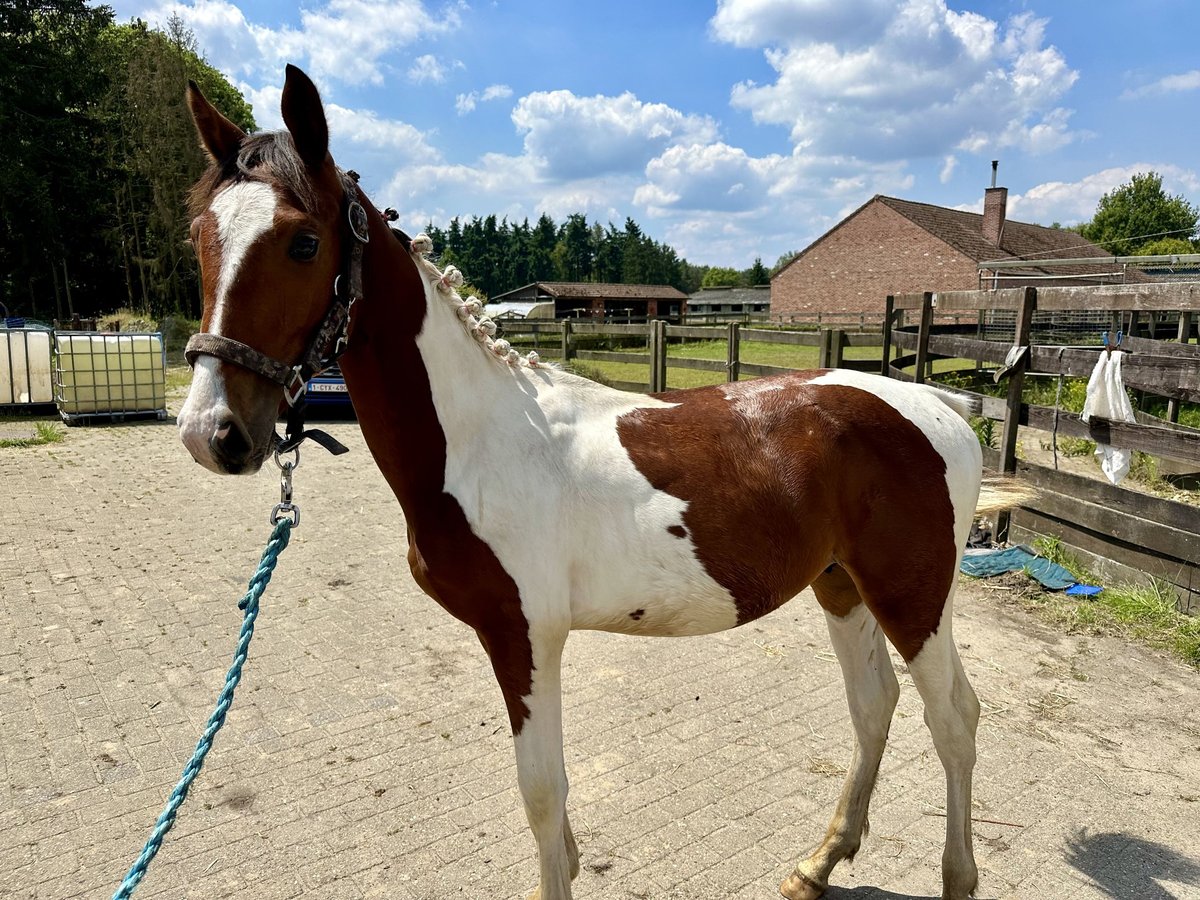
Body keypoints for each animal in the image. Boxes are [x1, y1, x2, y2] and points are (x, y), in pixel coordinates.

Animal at [182, 65, 1027, 900]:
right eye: (199, 237)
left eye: (303, 241)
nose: (211, 433)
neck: (482, 440)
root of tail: (941, 406)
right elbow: (552, 813)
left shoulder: (524, 638)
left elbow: (543, 798)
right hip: (842, 584)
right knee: (874, 704)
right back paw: (818, 863)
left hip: (911, 596)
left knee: (954, 718)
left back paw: (953, 876)